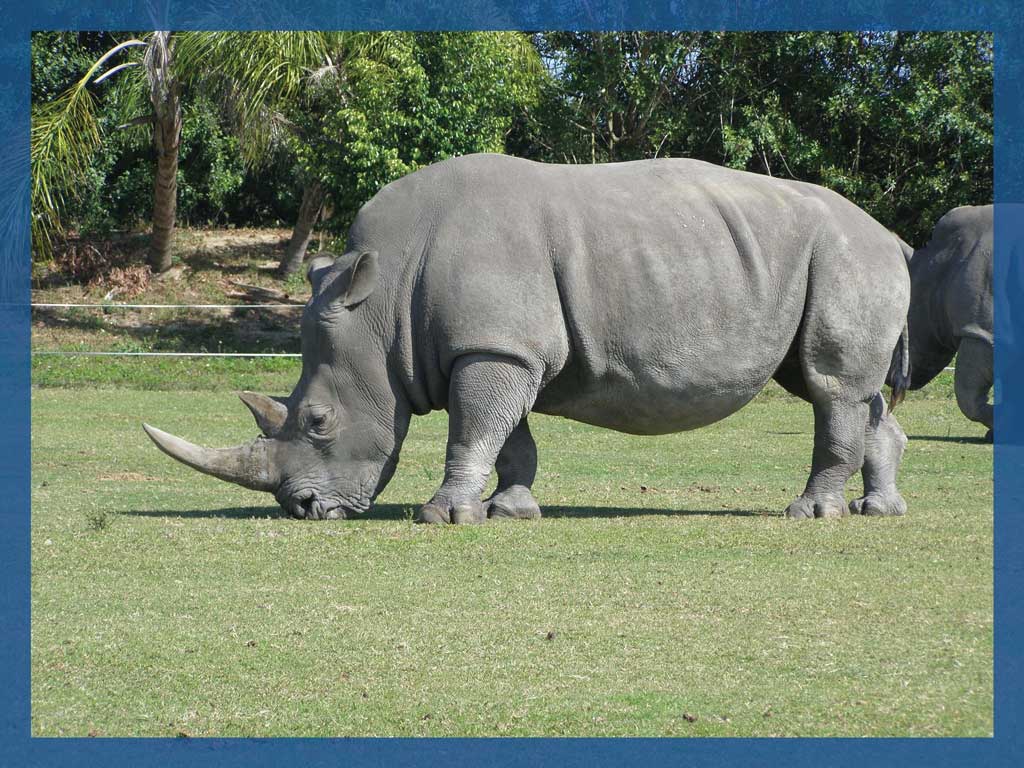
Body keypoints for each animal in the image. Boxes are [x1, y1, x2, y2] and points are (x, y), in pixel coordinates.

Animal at [144, 153, 911, 522]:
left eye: (318, 421)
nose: (303, 510)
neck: (383, 301)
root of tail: (893, 236)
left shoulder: (492, 345)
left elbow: (471, 428)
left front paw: (443, 517)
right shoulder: (497, 346)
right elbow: (506, 434)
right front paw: (508, 511)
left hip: (847, 256)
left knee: (831, 385)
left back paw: (811, 514)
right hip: (832, 260)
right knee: (848, 390)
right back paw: (877, 511)